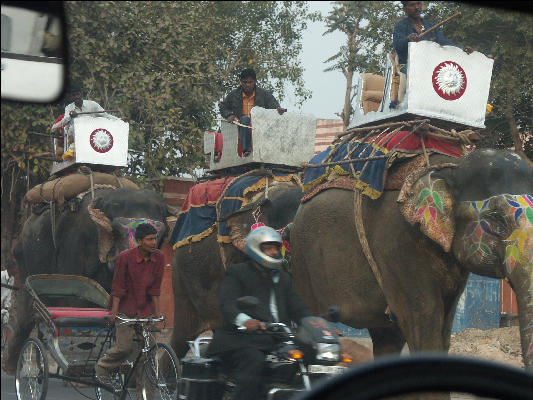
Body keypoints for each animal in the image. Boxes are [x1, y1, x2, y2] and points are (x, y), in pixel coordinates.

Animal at [3, 186, 169, 374]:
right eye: (116, 230)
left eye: (159, 235)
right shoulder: (74, 246)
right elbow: (75, 301)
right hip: (24, 256)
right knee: (26, 308)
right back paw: (12, 368)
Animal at [290, 149, 532, 368]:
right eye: (498, 221)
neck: (451, 167)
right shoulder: (399, 244)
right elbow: (425, 316)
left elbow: (445, 323)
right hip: (304, 263)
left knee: (387, 337)